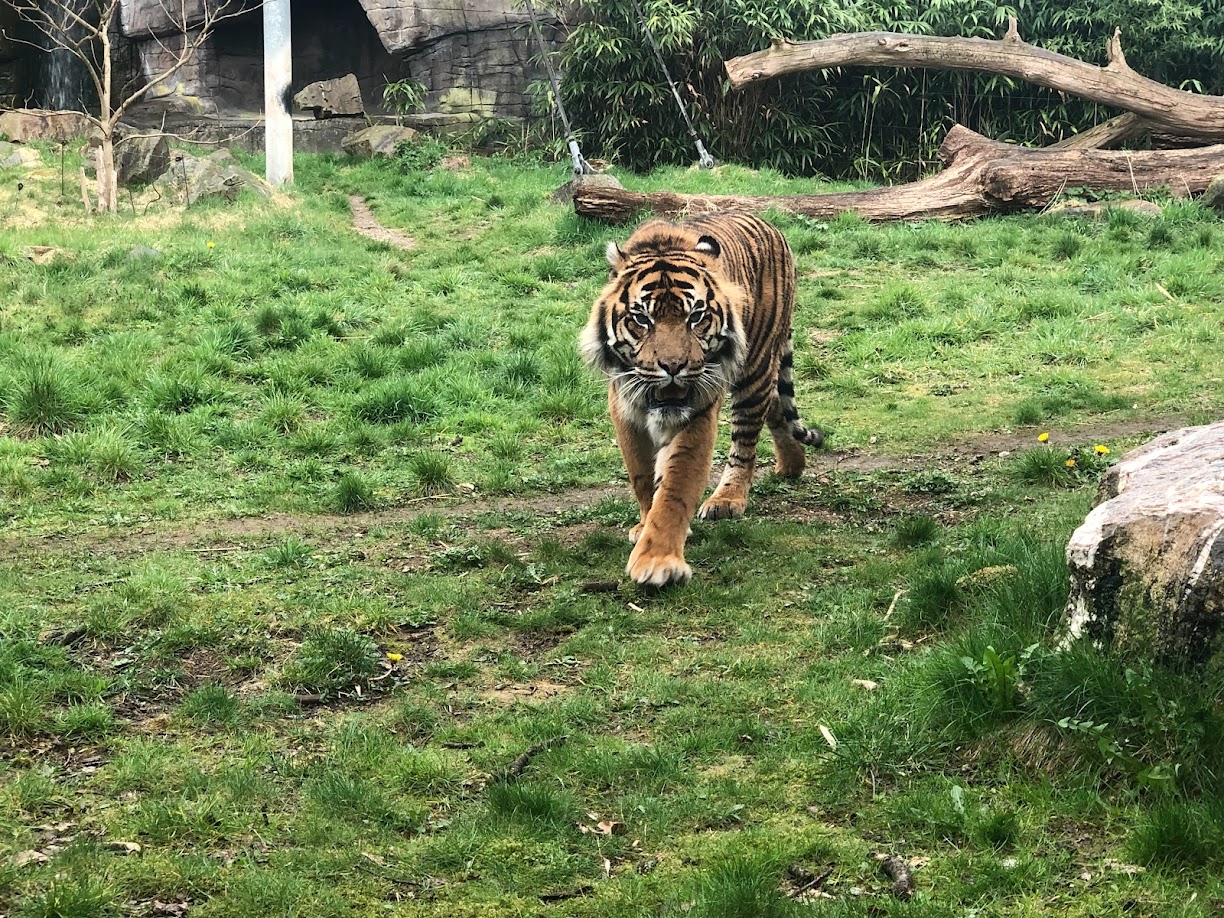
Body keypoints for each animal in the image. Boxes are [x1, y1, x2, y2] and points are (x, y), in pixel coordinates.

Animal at [580, 211, 824, 586]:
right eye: (641, 319)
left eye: (695, 316)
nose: (673, 366)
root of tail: (770, 225)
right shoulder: (624, 405)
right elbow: (641, 475)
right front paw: (643, 524)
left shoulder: (698, 411)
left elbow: (676, 487)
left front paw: (658, 561)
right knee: (775, 406)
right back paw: (791, 464)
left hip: (754, 368)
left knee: (746, 440)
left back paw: (729, 498)